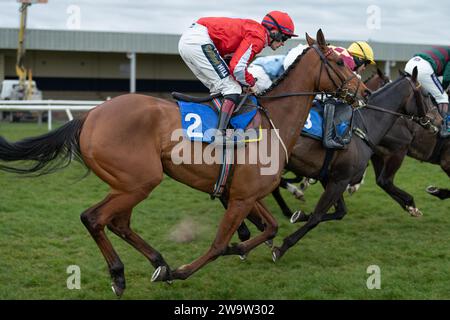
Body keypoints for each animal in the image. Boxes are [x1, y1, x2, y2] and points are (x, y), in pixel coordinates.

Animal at [0, 28, 368, 296]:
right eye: (339, 64)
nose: (362, 91)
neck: (274, 120)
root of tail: (89, 116)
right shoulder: (241, 198)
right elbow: (218, 244)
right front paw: (186, 270)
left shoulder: (244, 194)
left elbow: (271, 227)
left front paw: (242, 247)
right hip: (139, 180)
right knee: (94, 218)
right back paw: (122, 275)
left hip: (126, 183)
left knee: (118, 223)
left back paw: (157, 262)